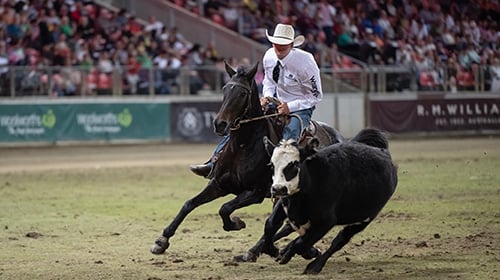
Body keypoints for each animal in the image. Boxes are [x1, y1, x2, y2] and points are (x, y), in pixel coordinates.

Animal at [150, 62, 342, 255]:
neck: (243, 146)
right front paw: (161, 241)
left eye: (242, 93)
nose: (220, 124)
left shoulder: (255, 192)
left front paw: (237, 223)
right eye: (224, 89)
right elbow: (189, 204)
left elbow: (225, 208)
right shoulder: (218, 184)